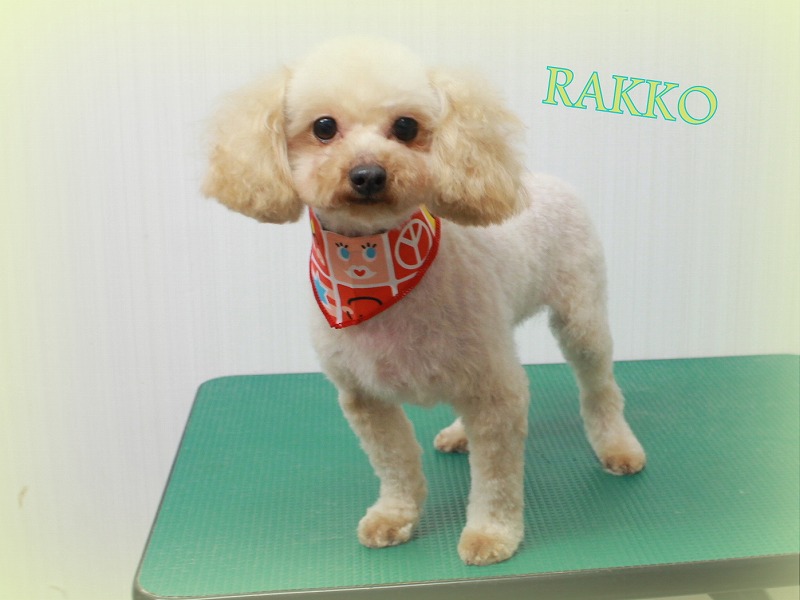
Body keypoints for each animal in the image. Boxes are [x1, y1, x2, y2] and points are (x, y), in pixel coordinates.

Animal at [203, 37, 646, 566]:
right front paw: (394, 516)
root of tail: (550, 181)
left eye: (406, 127)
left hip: (580, 318)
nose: (368, 174)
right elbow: (395, 465)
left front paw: (491, 534)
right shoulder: (365, 396)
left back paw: (616, 444)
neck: (376, 272)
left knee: (600, 387)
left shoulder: (497, 395)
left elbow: (496, 480)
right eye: (324, 127)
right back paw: (459, 433)